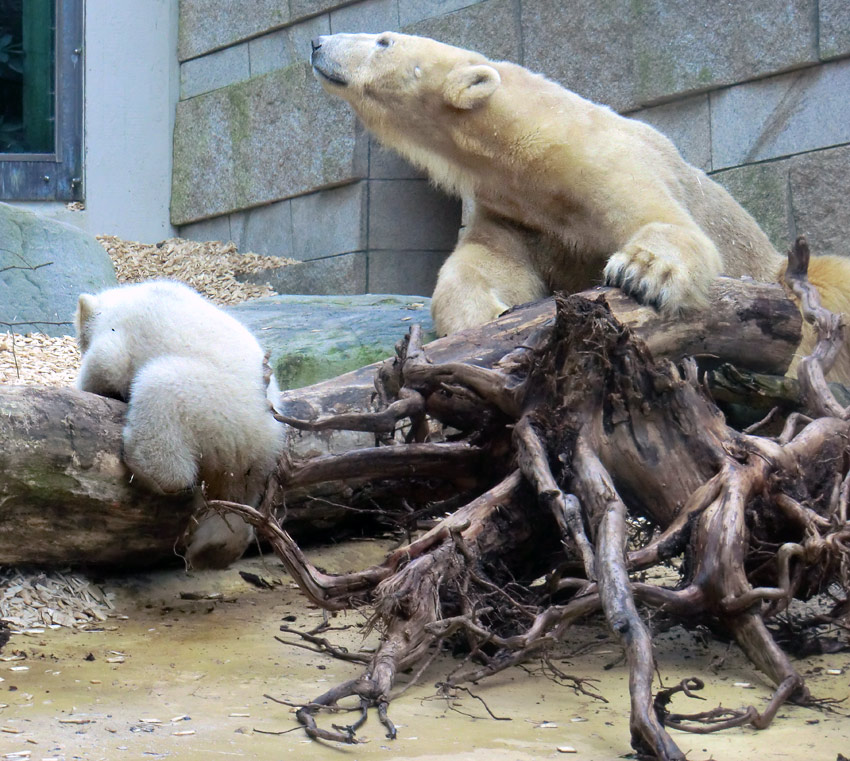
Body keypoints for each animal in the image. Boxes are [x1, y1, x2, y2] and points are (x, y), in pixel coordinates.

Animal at [312, 32, 848, 382]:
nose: (317, 42)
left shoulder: (609, 163)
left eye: (383, 40)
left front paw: (641, 272)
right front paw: (481, 317)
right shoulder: (516, 208)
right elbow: (488, 263)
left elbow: (670, 222)